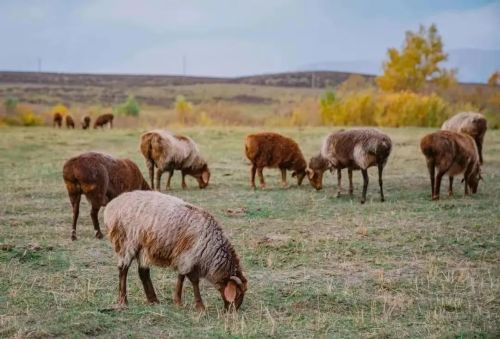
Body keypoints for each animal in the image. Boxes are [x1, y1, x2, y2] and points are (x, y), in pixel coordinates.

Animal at [104, 191, 248, 310]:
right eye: (239, 292)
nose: (233, 310)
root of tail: (112, 206)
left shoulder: (186, 258)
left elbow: (182, 276)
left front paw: (178, 301)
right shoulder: (189, 256)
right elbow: (193, 280)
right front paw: (198, 305)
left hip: (143, 247)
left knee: (143, 272)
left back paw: (153, 300)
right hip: (127, 242)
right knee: (123, 269)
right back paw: (123, 300)